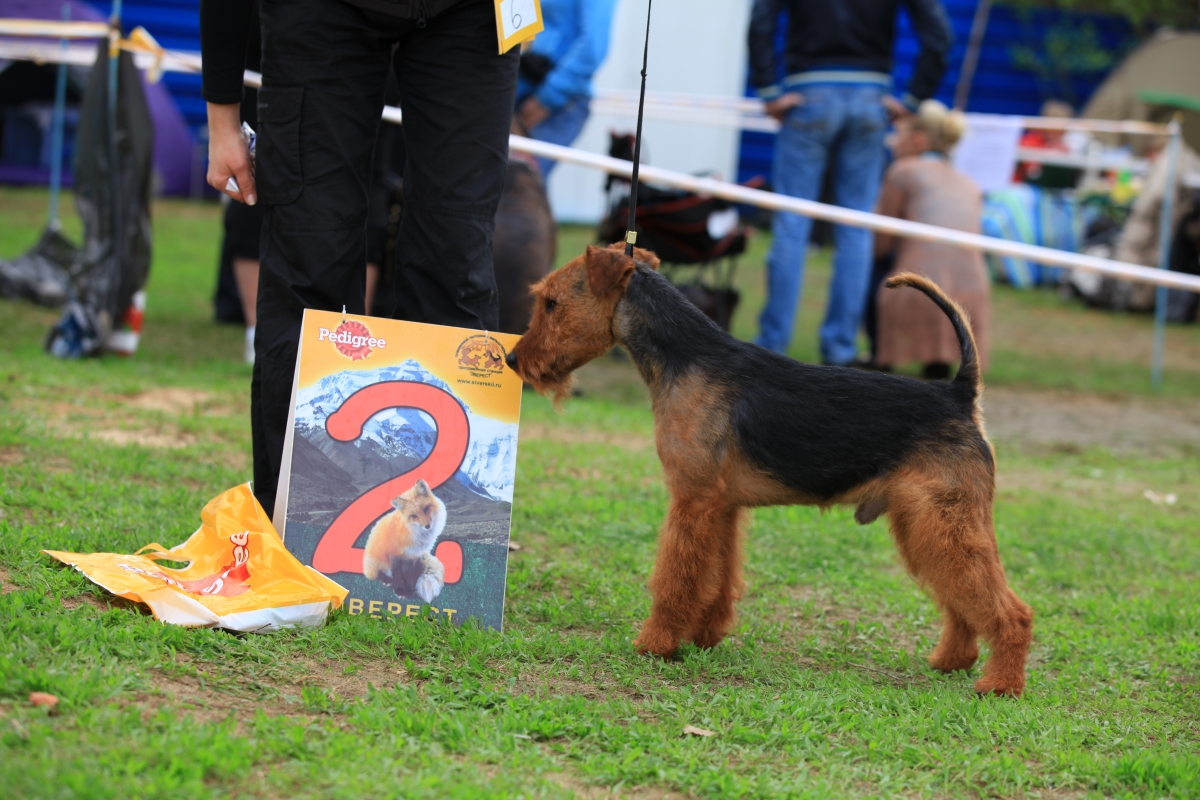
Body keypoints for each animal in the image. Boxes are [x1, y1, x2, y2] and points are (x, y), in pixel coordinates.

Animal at [506, 242, 1032, 695]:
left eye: (551, 302)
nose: (513, 359)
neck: (684, 357)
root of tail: (960, 394)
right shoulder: (722, 505)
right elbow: (717, 578)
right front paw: (704, 636)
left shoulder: (692, 500)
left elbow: (677, 579)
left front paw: (655, 644)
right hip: (926, 524)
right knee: (961, 602)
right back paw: (952, 661)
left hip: (944, 520)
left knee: (1012, 610)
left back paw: (1000, 684)